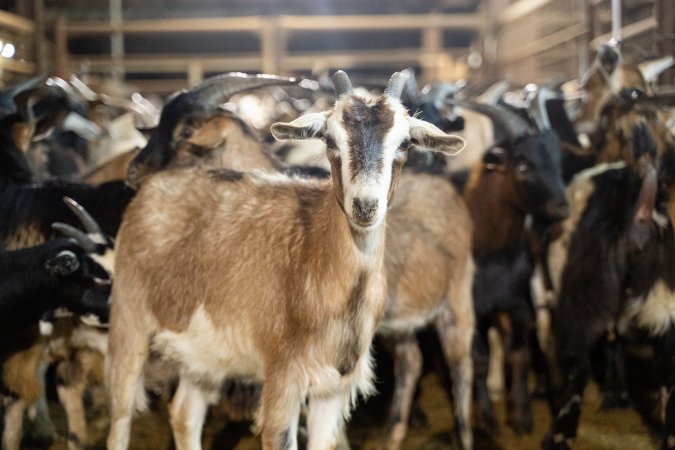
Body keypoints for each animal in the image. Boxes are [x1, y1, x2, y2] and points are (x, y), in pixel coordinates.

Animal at [107, 71, 464, 450]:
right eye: (330, 140)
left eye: (405, 144)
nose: (365, 206)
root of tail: (152, 189)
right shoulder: (282, 378)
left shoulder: (334, 389)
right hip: (129, 318)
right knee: (121, 412)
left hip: (202, 353)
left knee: (184, 414)